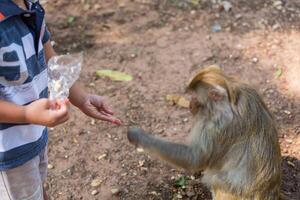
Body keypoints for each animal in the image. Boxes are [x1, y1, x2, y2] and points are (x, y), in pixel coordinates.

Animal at [127, 66, 282, 200]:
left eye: (196, 97)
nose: (191, 104)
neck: (230, 102)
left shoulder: (218, 125)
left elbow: (195, 158)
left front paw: (139, 136)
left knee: (215, 178)